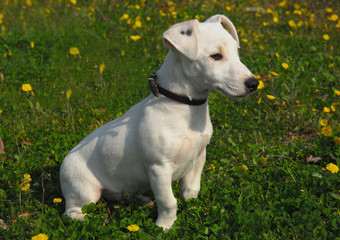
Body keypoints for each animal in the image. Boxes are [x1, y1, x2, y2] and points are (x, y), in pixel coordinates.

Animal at [60, 13, 258, 231]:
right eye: (216, 56)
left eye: (237, 52)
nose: (254, 83)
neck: (184, 106)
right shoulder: (159, 168)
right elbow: (168, 201)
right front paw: (164, 227)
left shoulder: (198, 158)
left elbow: (191, 191)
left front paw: (194, 211)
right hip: (84, 190)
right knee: (71, 212)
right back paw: (94, 222)